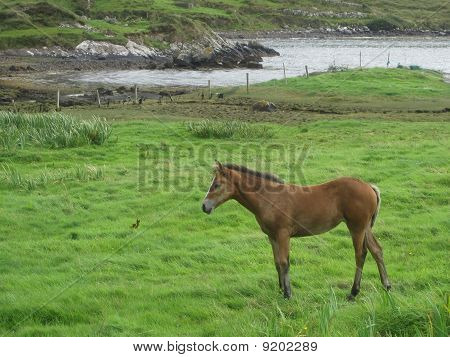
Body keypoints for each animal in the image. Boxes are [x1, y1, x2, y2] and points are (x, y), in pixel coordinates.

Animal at [202, 163, 392, 298]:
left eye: (217, 185)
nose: (204, 206)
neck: (271, 198)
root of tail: (369, 186)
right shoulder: (272, 236)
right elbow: (277, 262)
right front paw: (280, 290)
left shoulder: (283, 234)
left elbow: (284, 262)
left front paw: (287, 294)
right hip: (365, 227)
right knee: (377, 250)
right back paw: (387, 286)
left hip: (356, 227)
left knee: (360, 254)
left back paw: (353, 292)